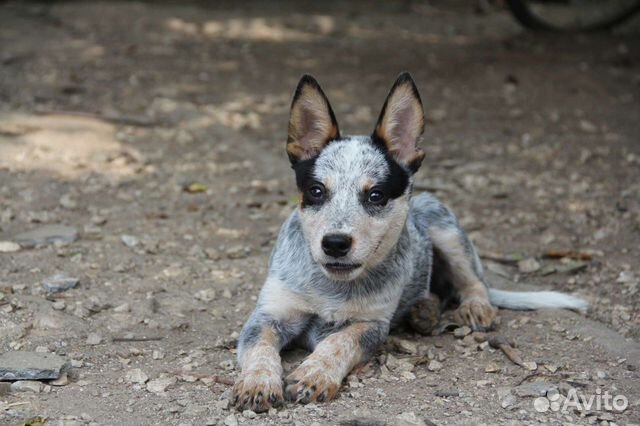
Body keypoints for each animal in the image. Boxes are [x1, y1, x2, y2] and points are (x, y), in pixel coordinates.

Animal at [232, 72, 588, 412]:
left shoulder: (371, 325)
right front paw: (257, 384)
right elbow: (260, 349)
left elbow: (339, 343)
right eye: (316, 191)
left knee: (473, 282)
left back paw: (472, 307)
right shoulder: (268, 316)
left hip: (444, 227)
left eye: (376, 195)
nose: (334, 243)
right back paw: (424, 310)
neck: (331, 288)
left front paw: (314, 374)